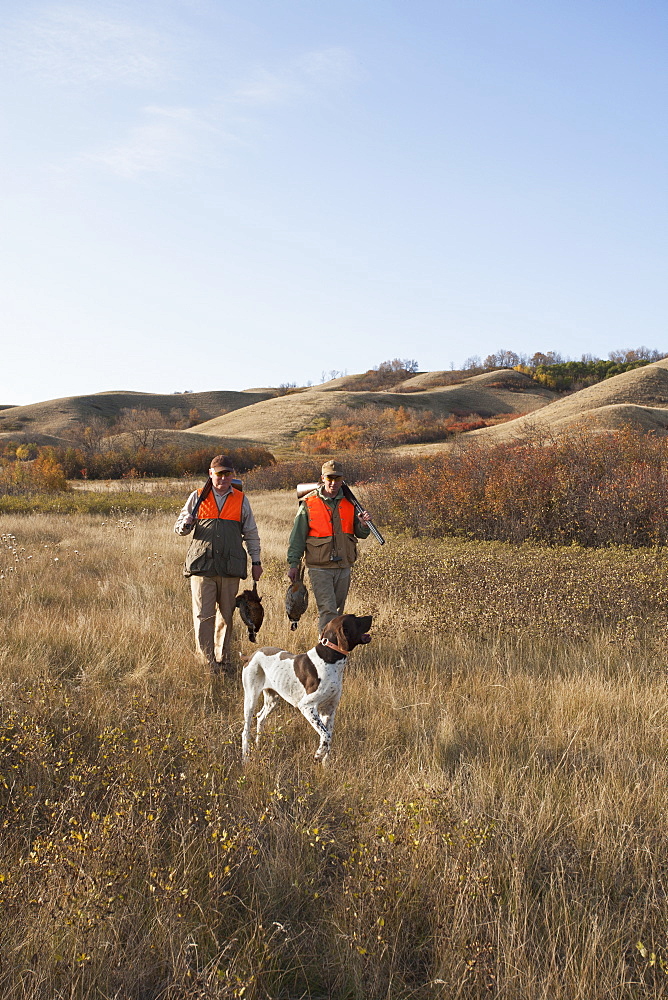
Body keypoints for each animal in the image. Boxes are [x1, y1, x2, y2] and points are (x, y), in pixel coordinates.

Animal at [241, 608, 376, 764]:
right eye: (355, 619)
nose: (371, 616)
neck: (330, 658)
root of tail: (250, 656)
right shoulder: (307, 706)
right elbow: (326, 735)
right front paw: (318, 754)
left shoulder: (329, 710)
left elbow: (329, 737)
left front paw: (325, 764)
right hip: (251, 698)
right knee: (245, 731)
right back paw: (245, 758)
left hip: (272, 699)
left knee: (260, 717)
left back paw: (258, 744)